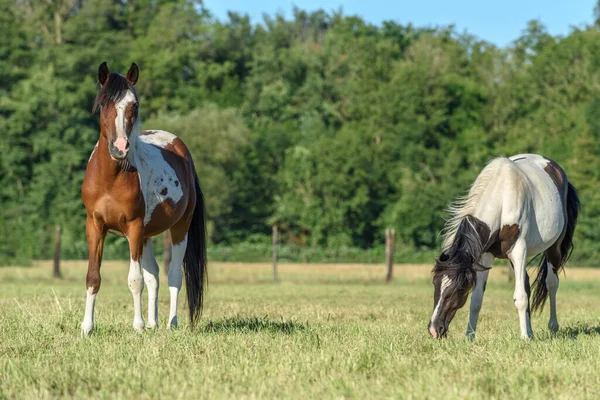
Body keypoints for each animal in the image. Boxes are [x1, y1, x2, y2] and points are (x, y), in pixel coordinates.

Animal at [79, 62, 207, 336]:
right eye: (103, 103)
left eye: (133, 105)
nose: (119, 147)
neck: (111, 177)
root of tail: (182, 150)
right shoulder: (95, 226)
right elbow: (93, 276)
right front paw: (87, 327)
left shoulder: (134, 227)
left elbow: (135, 279)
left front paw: (137, 327)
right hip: (147, 235)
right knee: (154, 276)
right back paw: (153, 323)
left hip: (178, 229)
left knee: (173, 276)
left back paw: (170, 324)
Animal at [428, 155, 580, 340]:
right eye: (435, 283)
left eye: (459, 289)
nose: (434, 329)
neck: (502, 197)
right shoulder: (484, 256)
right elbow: (476, 300)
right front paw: (469, 337)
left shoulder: (519, 250)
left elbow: (520, 297)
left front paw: (523, 338)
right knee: (527, 283)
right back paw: (530, 332)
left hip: (553, 248)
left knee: (551, 283)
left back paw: (552, 328)